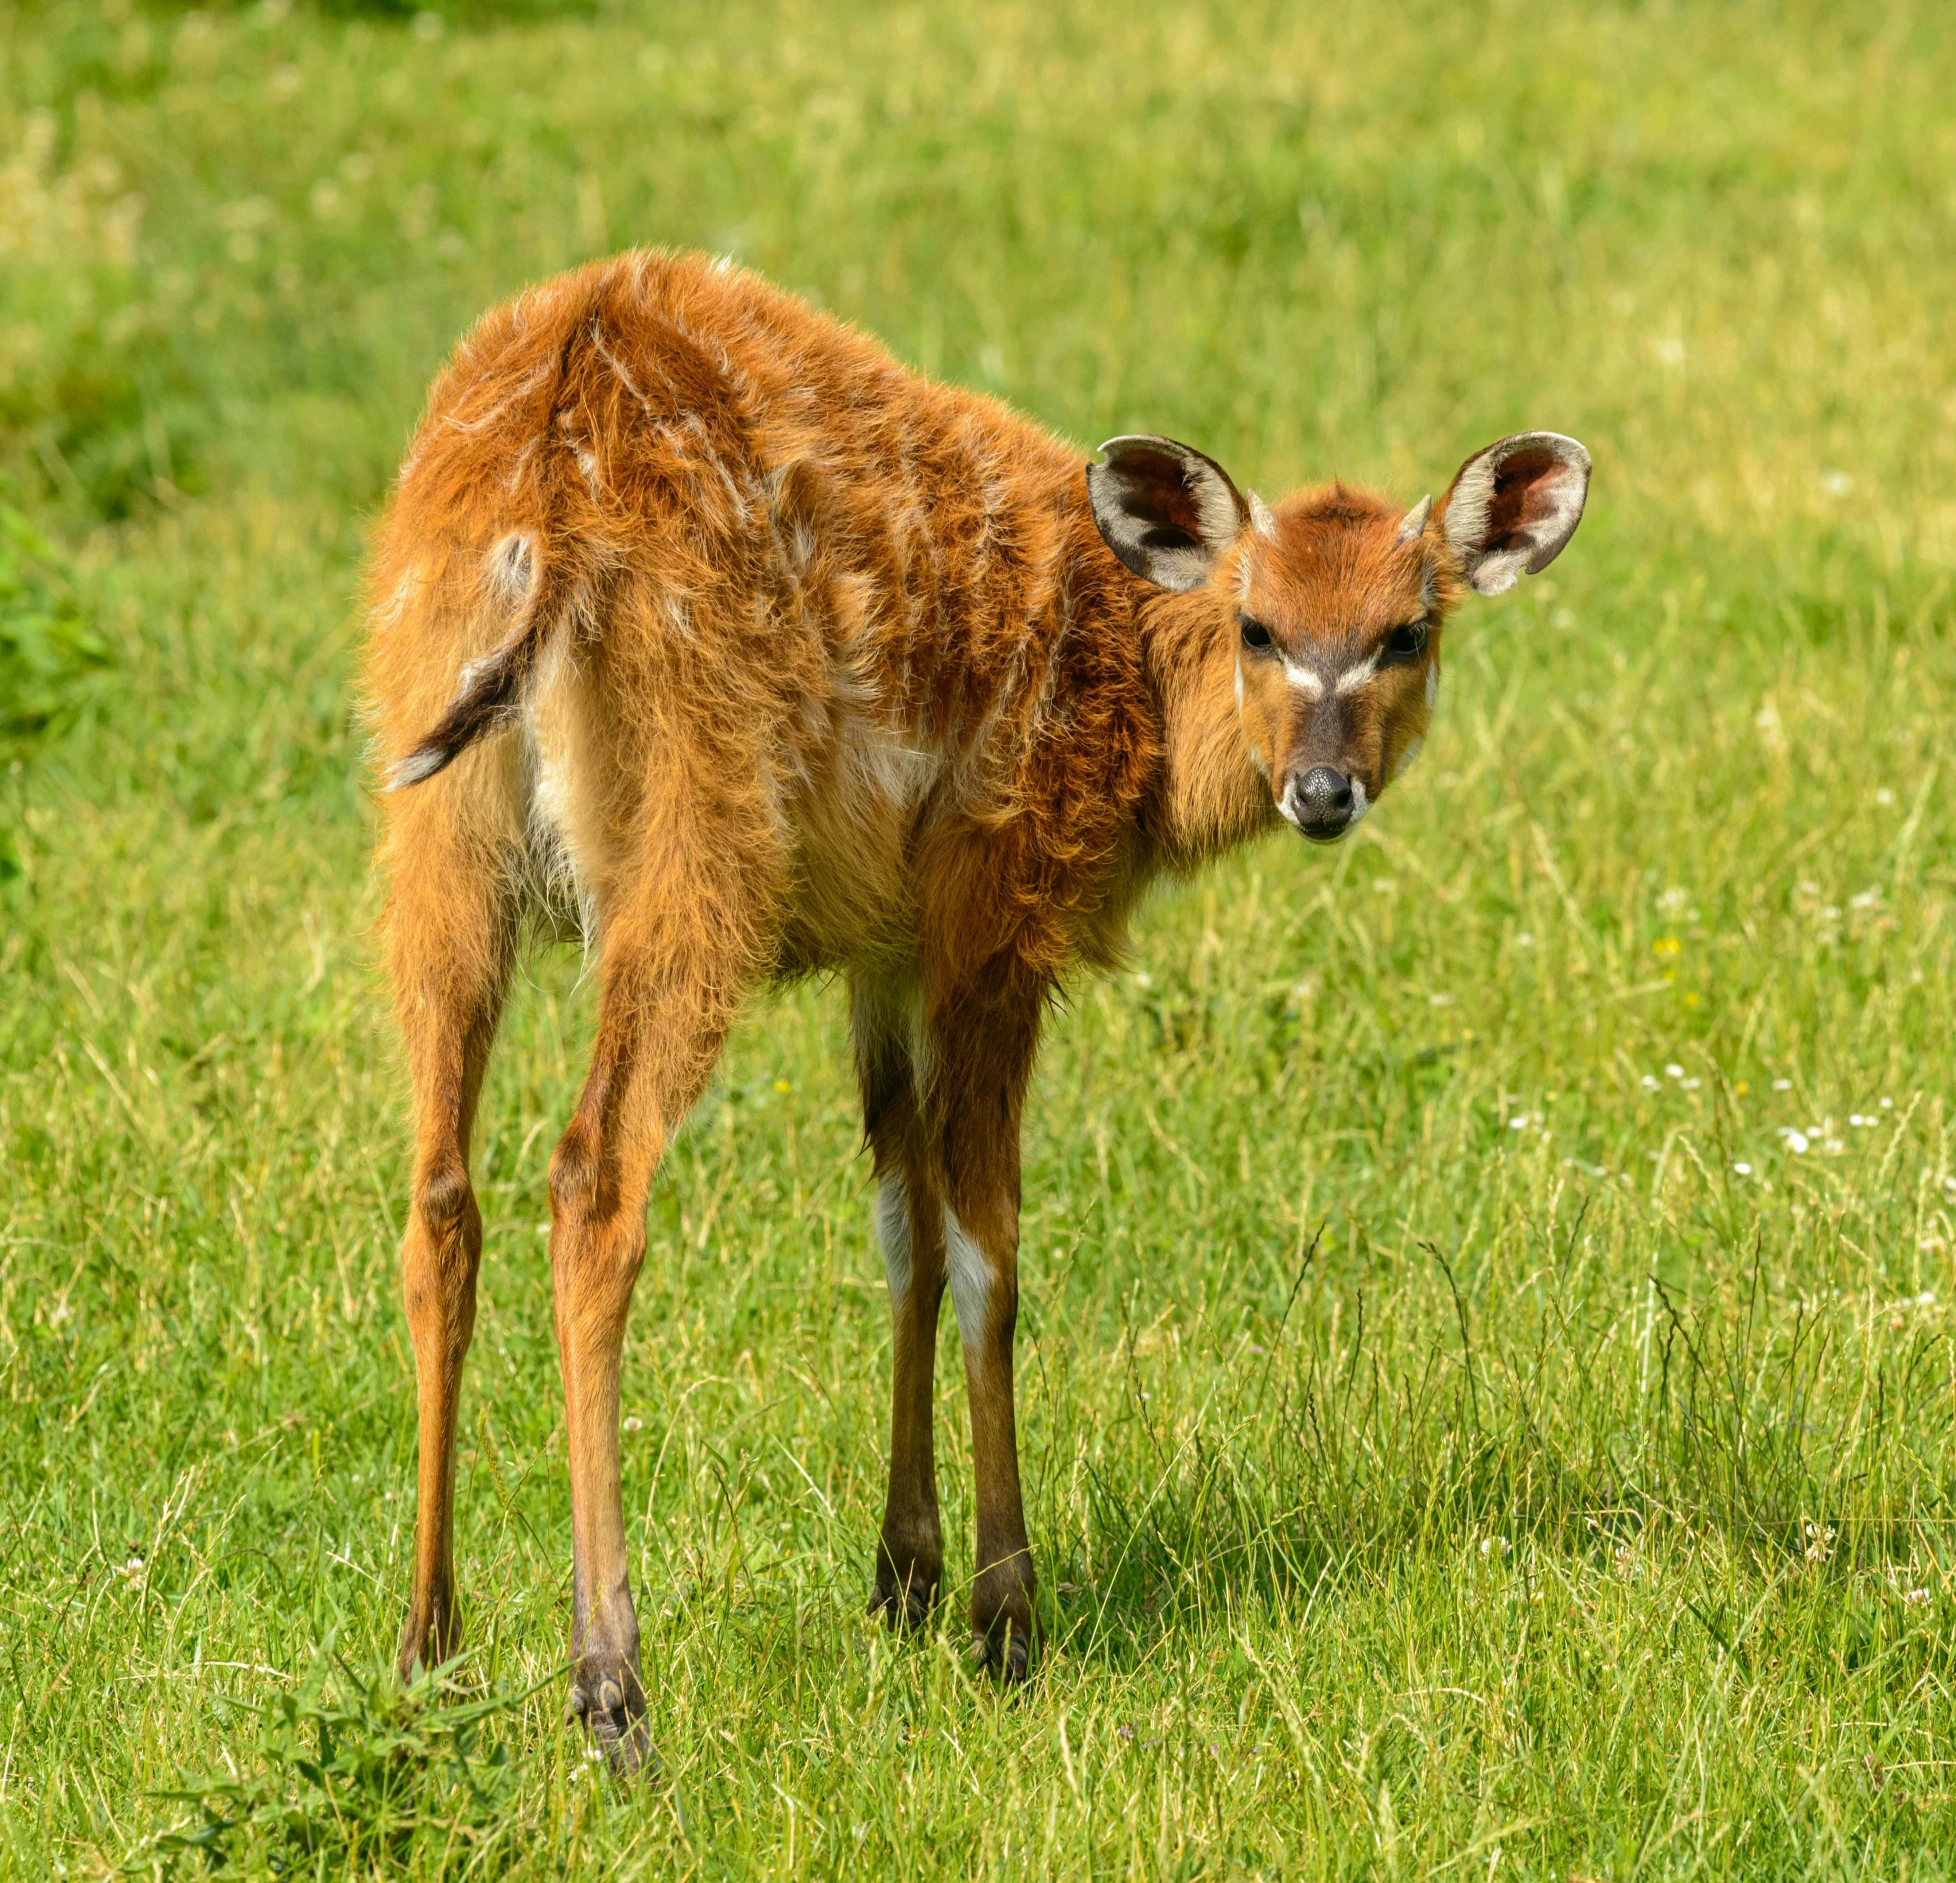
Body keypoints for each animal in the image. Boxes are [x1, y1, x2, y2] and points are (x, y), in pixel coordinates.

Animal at [367, 250, 1588, 1767]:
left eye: (1405, 630)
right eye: (1260, 624)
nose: (1323, 789)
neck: (1138, 711)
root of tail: (547, 479)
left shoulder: (888, 948)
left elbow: (899, 1217)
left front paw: (903, 1575)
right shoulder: (1003, 913)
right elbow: (986, 1249)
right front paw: (1006, 1612)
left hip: (433, 834)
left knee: (439, 1190)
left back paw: (428, 1651)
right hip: (693, 840)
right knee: (592, 1176)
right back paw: (613, 1687)